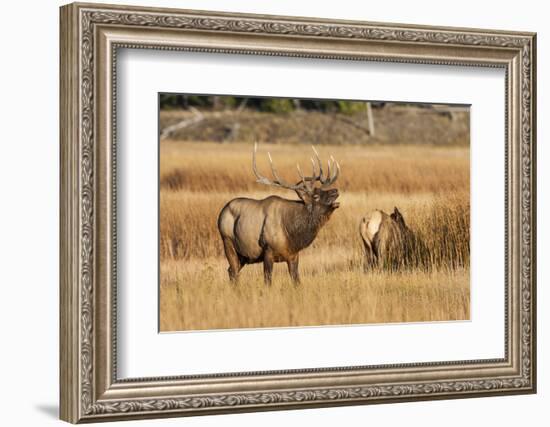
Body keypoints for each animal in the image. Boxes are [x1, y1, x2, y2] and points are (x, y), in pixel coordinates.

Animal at [217, 144, 340, 288]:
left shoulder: (293, 255)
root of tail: (221, 213)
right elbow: (267, 281)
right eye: (316, 196)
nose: (335, 191)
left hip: (244, 255)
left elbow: (296, 281)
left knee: (231, 270)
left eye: (321, 190)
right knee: (234, 270)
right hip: (227, 241)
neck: (292, 234)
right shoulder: (268, 251)